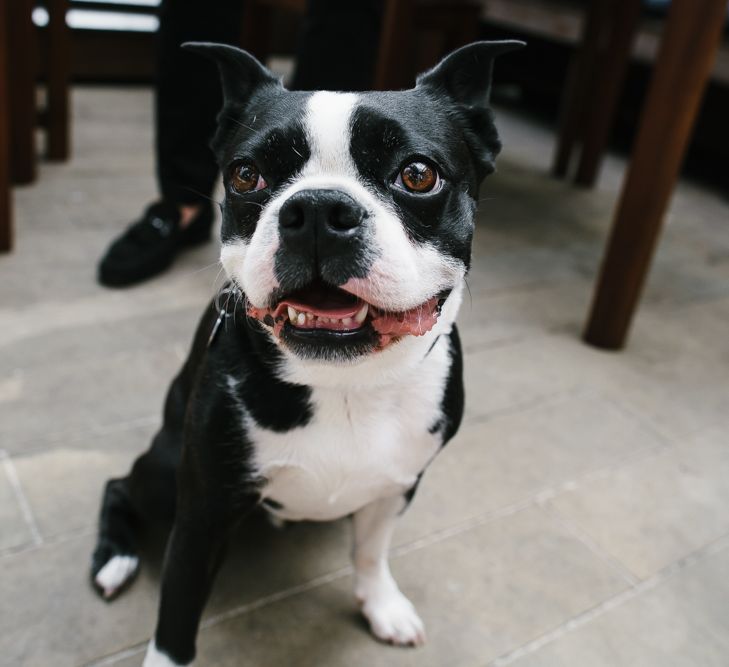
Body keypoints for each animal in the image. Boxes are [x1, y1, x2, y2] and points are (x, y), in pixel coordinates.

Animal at [91, 40, 520, 667]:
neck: (348, 385)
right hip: (167, 470)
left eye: (418, 175)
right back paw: (114, 558)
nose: (317, 208)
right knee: (118, 485)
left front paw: (382, 604)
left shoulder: (398, 483)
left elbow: (371, 550)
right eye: (246, 175)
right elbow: (175, 621)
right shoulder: (201, 514)